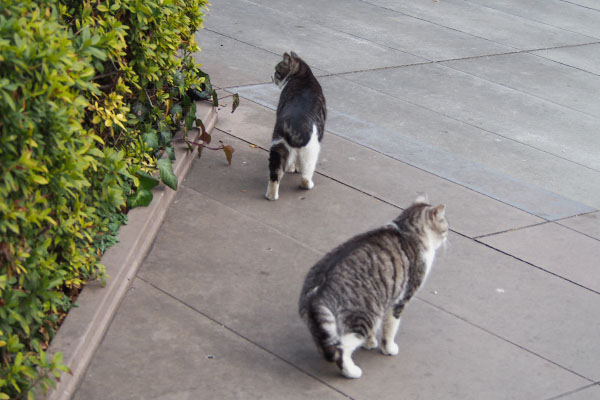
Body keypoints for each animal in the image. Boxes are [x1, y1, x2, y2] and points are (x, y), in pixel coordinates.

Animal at [264, 51, 326, 202]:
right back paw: (308, 185)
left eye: (276, 70)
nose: (270, 76)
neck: (303, 76)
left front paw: (291, 168)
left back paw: (271, 196)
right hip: (312, 150)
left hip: (277, 146)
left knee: (275, 173)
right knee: (305, 175)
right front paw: (295, 168)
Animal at [298, 195, 448, 380]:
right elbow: (390, 328)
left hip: (326, 321)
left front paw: (370, 343)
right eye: (446, 227)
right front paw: (388, 348)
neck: (406, 230)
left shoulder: (382, 300)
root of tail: (318, 290)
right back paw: (352, 371)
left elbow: (376, 329)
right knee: (341, 349)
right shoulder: (400, 299)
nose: (447, 237)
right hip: (363, 317)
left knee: (327, 344)